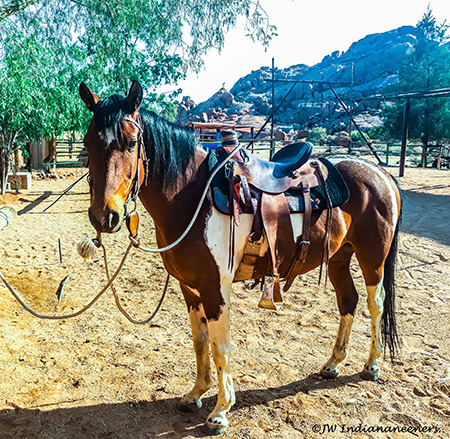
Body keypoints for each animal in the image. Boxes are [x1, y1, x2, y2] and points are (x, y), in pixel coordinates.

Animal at [80, 81, 400, 434]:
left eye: (131, 142)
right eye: (87, 144)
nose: (104, 216)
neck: (194, 196)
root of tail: (379, 172)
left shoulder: (215, 288)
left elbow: (220, 347)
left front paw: (220, 411)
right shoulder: (190, 288)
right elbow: (200, 342)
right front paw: (196, 393)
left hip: (372, 257)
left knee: (375, 303)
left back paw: (372, 365)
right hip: (340, 257)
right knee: (348, 300)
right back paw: (332, 364)